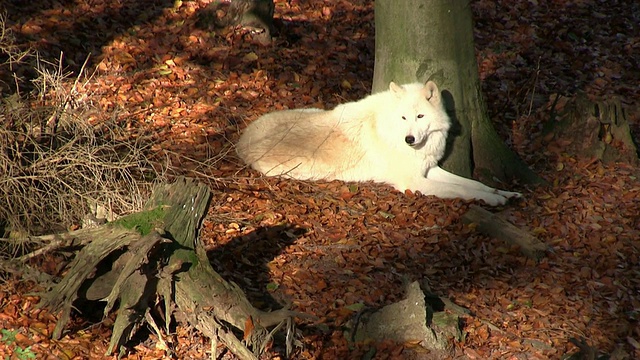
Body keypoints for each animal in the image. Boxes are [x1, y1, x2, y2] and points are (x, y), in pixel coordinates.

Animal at [238, 80, 524, 207]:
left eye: (420, 117)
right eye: (404, 118)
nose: (410, 139)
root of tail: (241, 140)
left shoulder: (429, 169)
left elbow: (473, 183)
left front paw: (504, 193)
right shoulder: (413, 182)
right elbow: (461, 190)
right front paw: (493, 200)